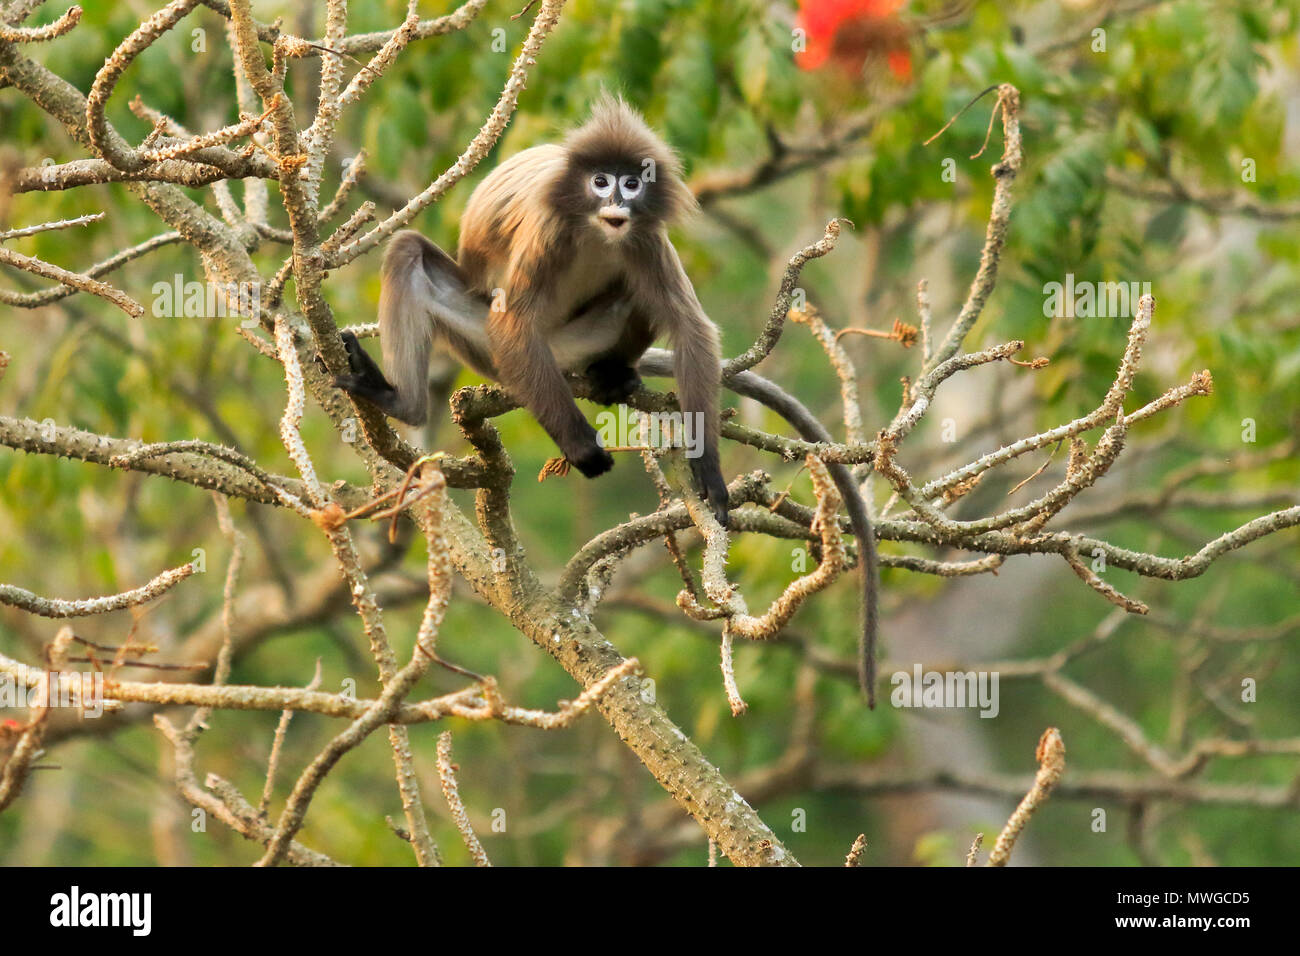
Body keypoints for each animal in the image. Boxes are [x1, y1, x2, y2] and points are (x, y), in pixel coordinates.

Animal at [335, 97, 883, 702]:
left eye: (630, 182)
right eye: (600, 182)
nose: (617, 201)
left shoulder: (644, 238)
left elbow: (692, 329)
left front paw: (708, 471)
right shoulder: (547, 232)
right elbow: (513, 324)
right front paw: (582, 448)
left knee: (634, 294)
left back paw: (612, 376)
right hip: (484, 338)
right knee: (412, 252)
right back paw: (401, 401)